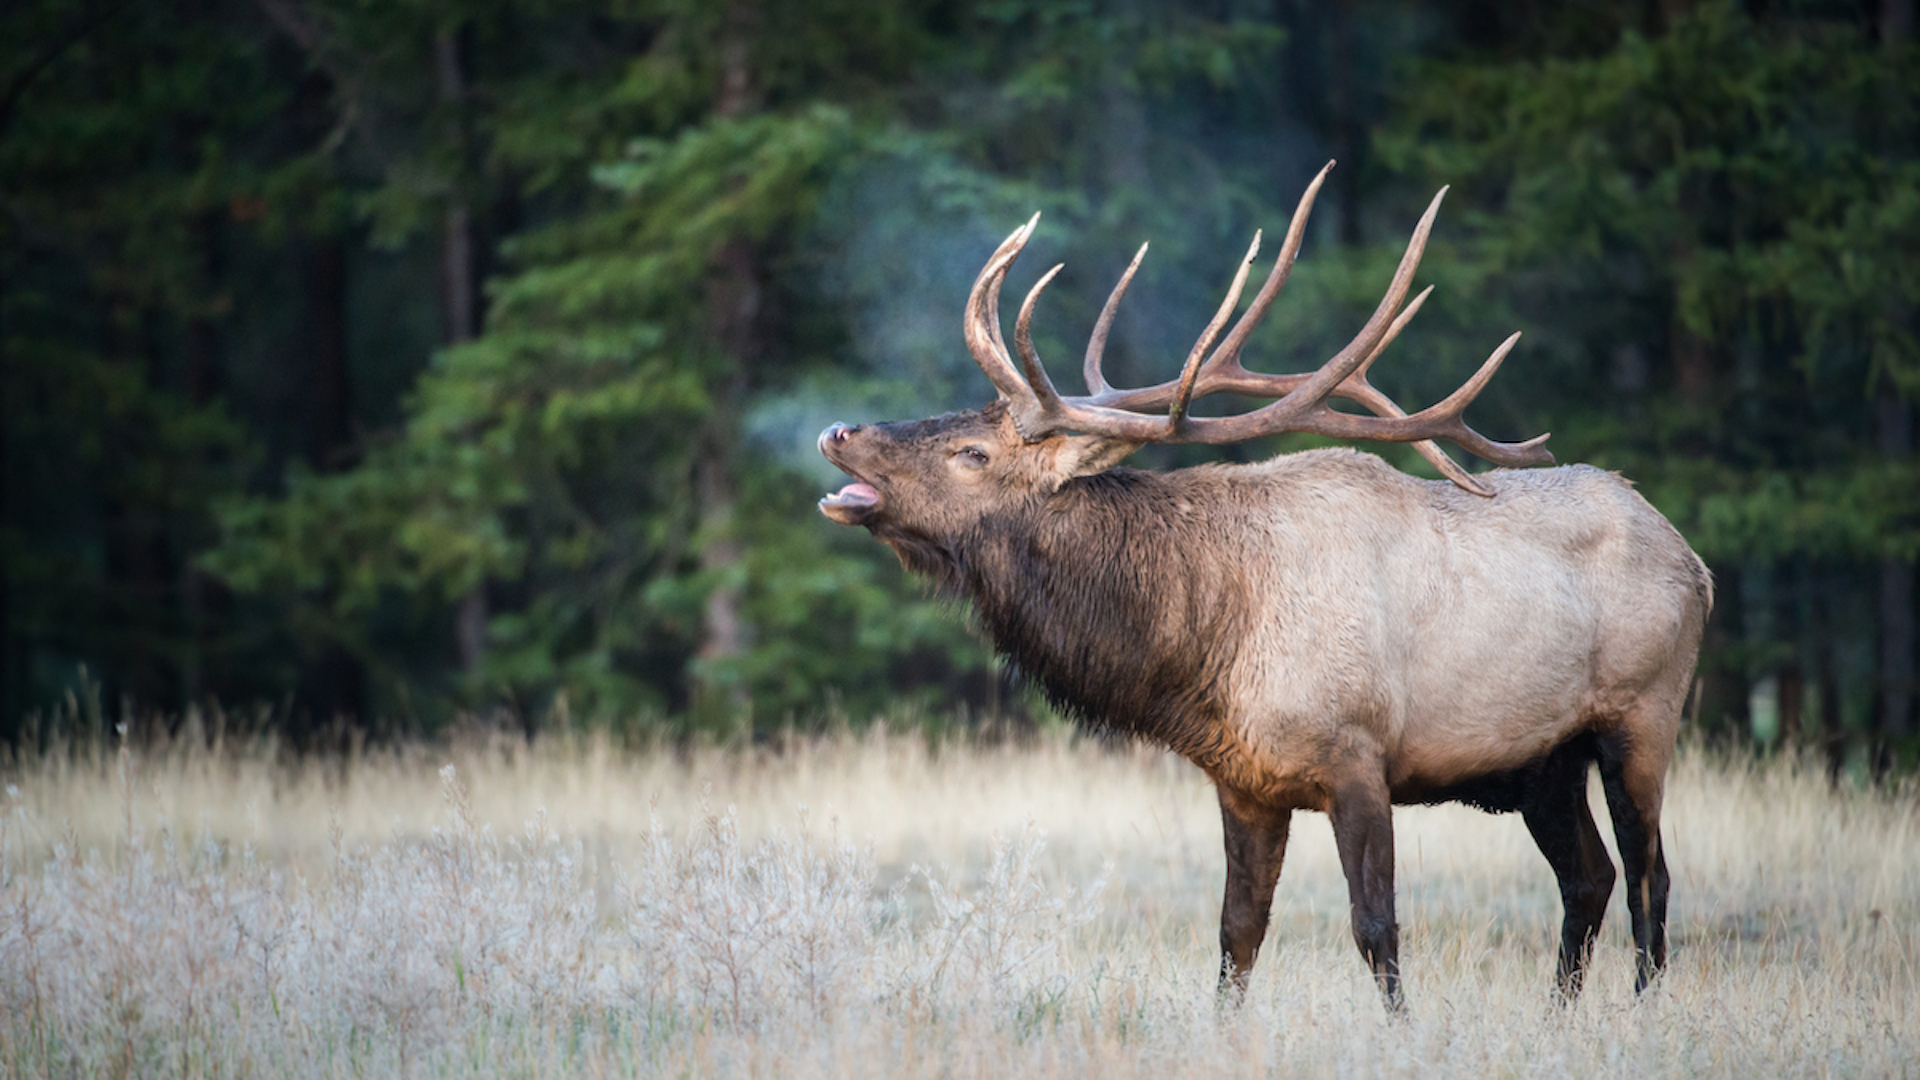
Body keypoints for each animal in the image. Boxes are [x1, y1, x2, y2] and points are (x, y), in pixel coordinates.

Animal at [810, 164, 1712, 1006]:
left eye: (972, 452)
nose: (838, 430)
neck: (1207, 644)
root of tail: (1694, 563)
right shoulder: (1244, 783)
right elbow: (1236, 933)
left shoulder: (1358, 753)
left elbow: (1376, 928)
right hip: (1544, 761)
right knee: (1589, 877)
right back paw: (1561, 1014)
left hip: (1642, 714)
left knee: (1649, 877)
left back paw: (1641, 1009)